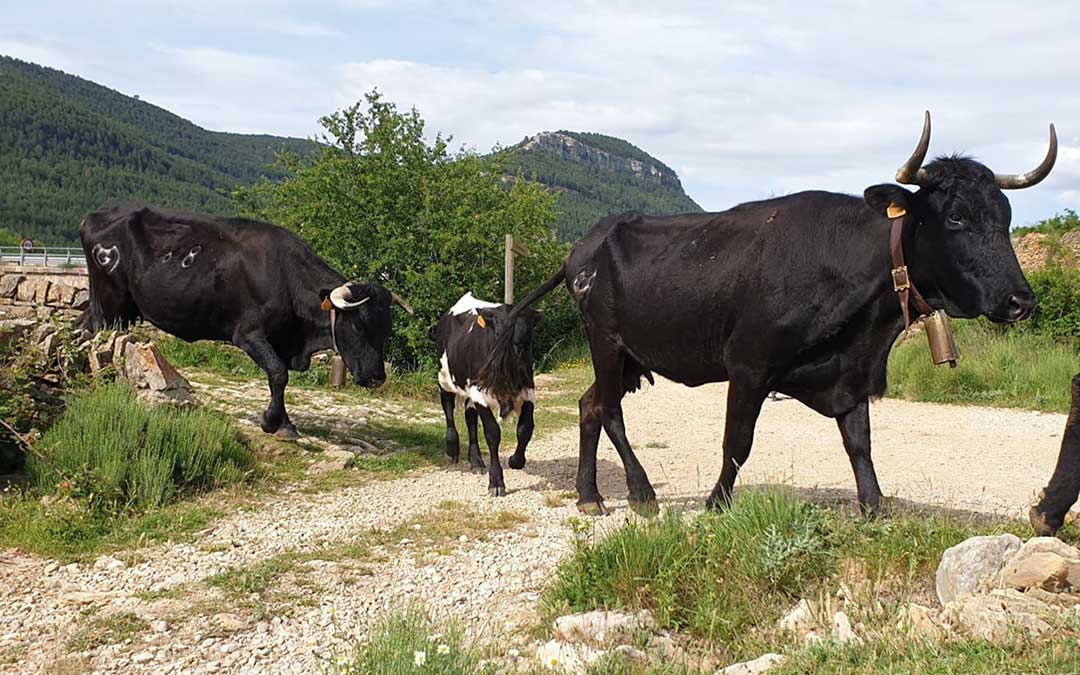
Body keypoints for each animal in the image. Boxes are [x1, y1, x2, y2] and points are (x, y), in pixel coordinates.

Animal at [77, 204, 413, 438]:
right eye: (358, 325)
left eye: (387, 329)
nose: (377, 378)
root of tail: (95, 216)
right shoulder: (248, 334)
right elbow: (278, 374)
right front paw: (272, 422)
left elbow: (278, 379)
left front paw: (284, 423)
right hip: (109, 306)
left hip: (113, 308)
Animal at [436, 292, 541, 496]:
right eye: (497, 333)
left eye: (527, 338)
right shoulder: (479, 392)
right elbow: (492, 433)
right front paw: (496, 481)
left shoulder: (527, 389)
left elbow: (525, 428)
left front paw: (515, 460)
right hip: (445, 375)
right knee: (448, 405)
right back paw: (452, 450)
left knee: (470, 418)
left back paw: (476, 461)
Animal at [480, 111, 1056, 516]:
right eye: (955, 217)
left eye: (1005, 215)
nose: (1020, 300)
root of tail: (583, 245)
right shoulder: (749, 365)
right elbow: (738, 442)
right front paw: (716, 502)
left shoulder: (851, 372)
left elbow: (860, 444)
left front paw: (874, 507)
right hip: (605, 340)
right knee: (609, 411)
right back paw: (641, 494)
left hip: (627, 356)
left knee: (588, 406)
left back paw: (589, 494)